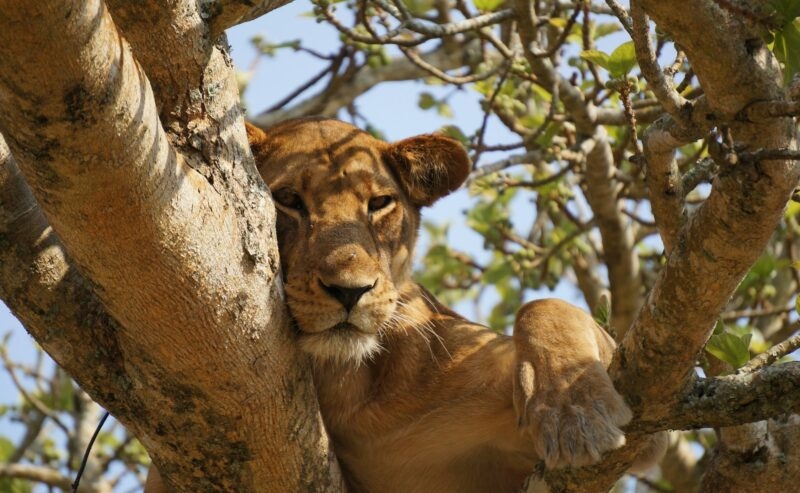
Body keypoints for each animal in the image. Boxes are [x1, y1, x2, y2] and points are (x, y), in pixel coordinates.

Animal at [146, 118, 662, 492]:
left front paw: (574, 410)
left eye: (379, 203)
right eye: (288, 199)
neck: (348, 386)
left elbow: (544, 307)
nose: (350, 290)